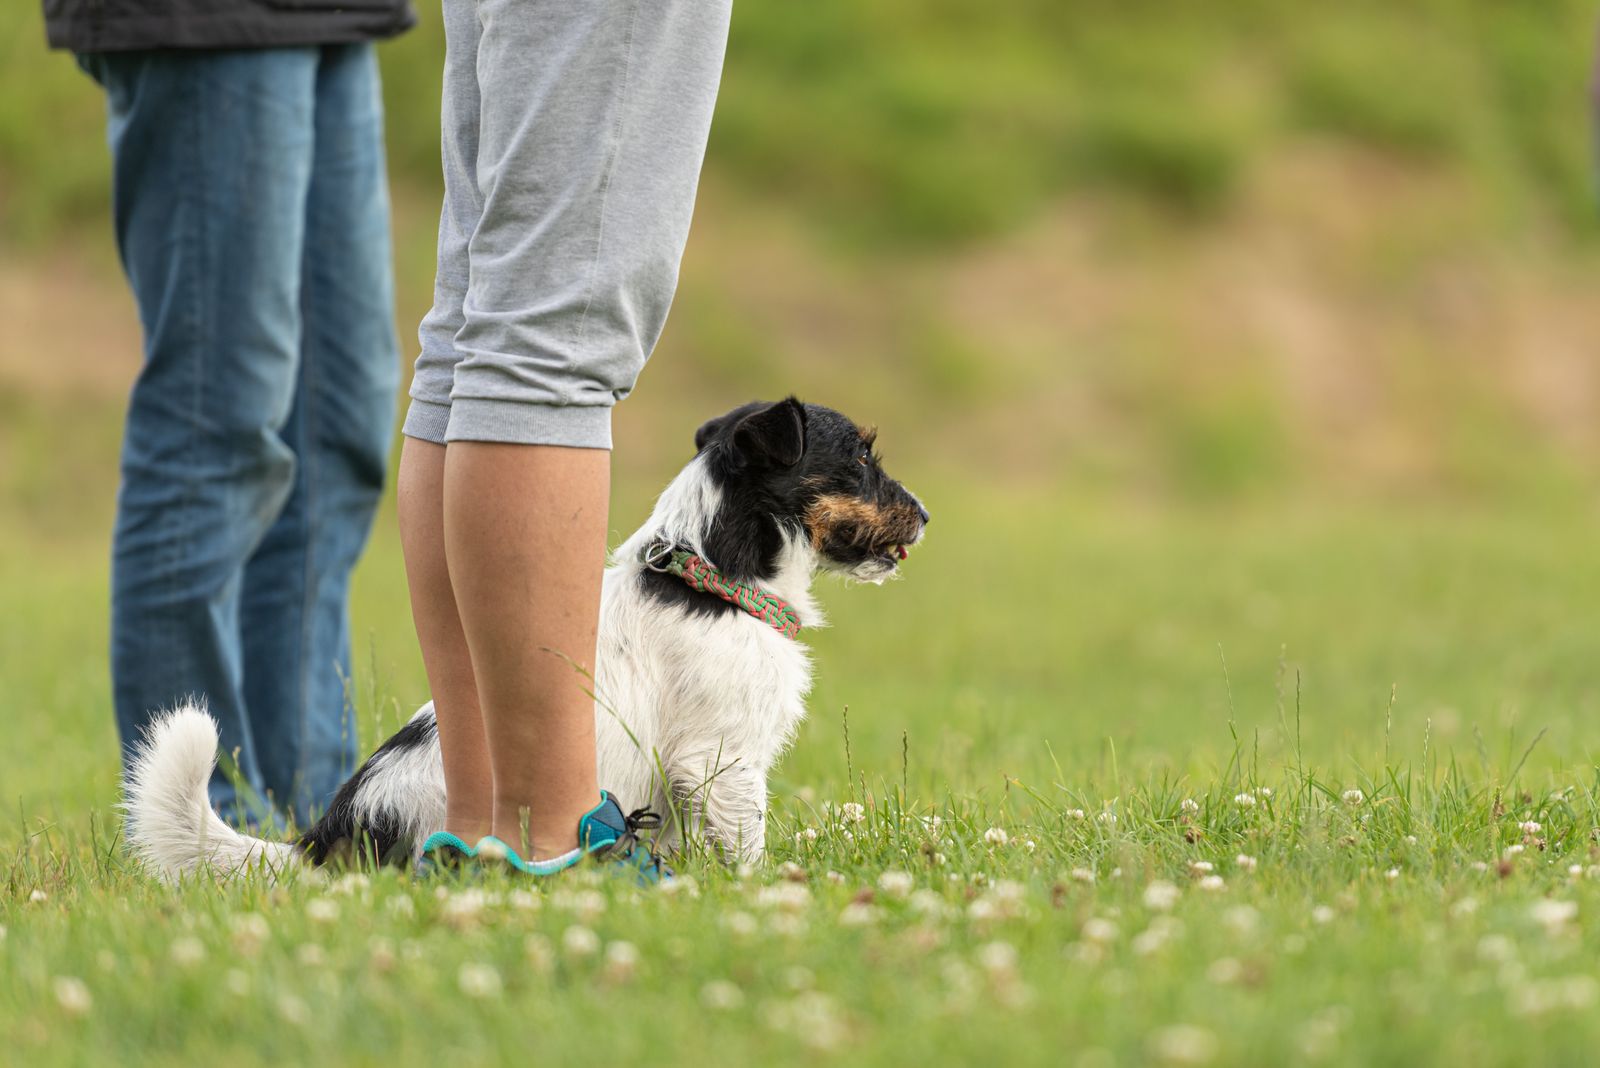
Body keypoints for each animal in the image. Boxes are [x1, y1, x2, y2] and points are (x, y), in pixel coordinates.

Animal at [124, 396, 934, 882]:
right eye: (860, 457)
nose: (926, 514)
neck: (711, 576)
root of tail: (327, 837)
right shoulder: (720, 761)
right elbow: (745, 847)